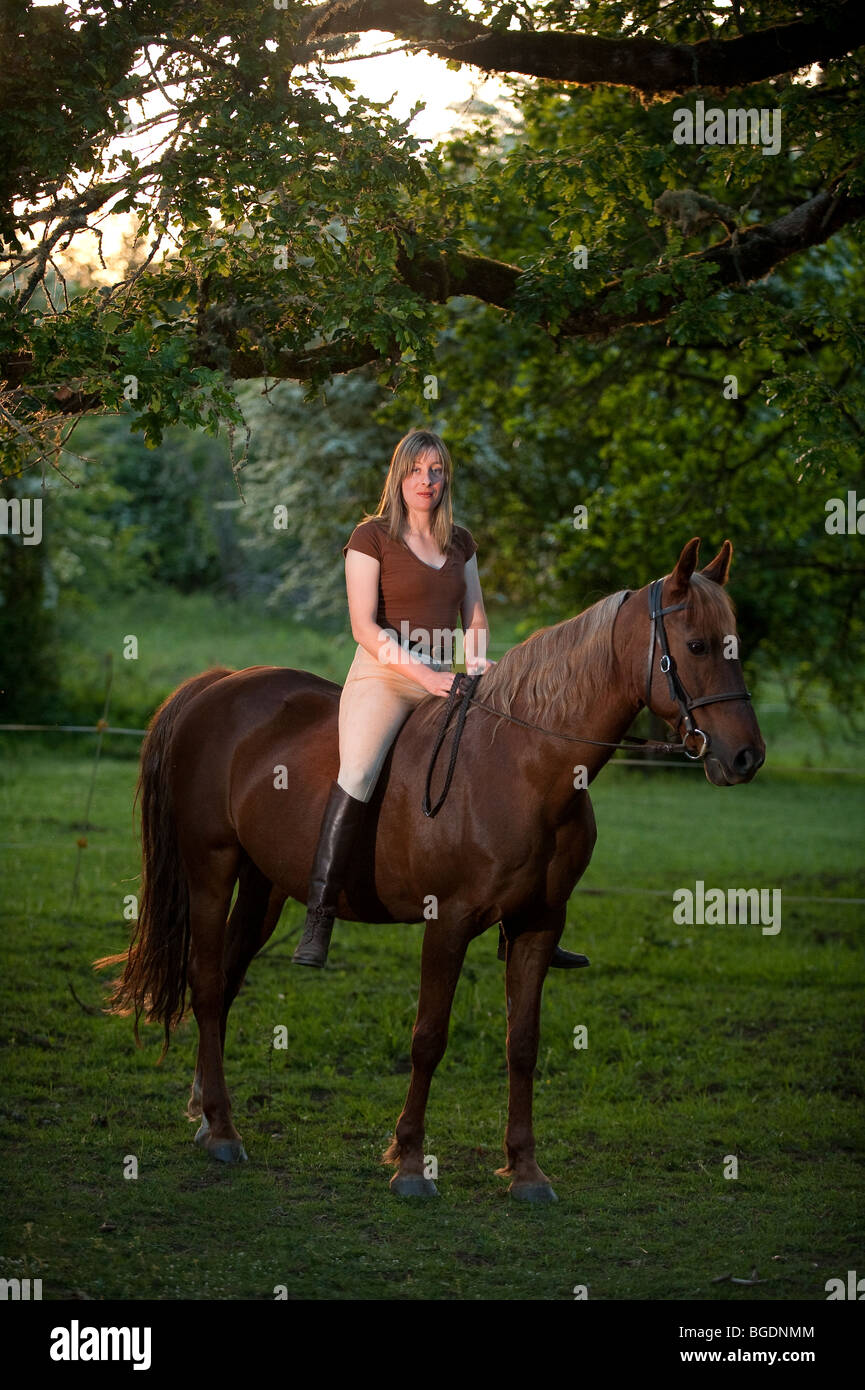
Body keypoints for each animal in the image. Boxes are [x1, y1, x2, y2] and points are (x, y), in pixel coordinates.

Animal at [100, 536, 767, 1200]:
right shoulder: (447, 923)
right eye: (697, 646)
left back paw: (206, 1114)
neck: (526, 765)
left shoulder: (538, 924)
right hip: (210, 870)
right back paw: (222, 1132)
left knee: (226, 980)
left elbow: (522, 1044)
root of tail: (220, 686)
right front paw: (411, 1164)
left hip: (264, 886)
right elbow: (428, 1039)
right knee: (208, 981)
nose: (746, 758)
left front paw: (525, 1170)